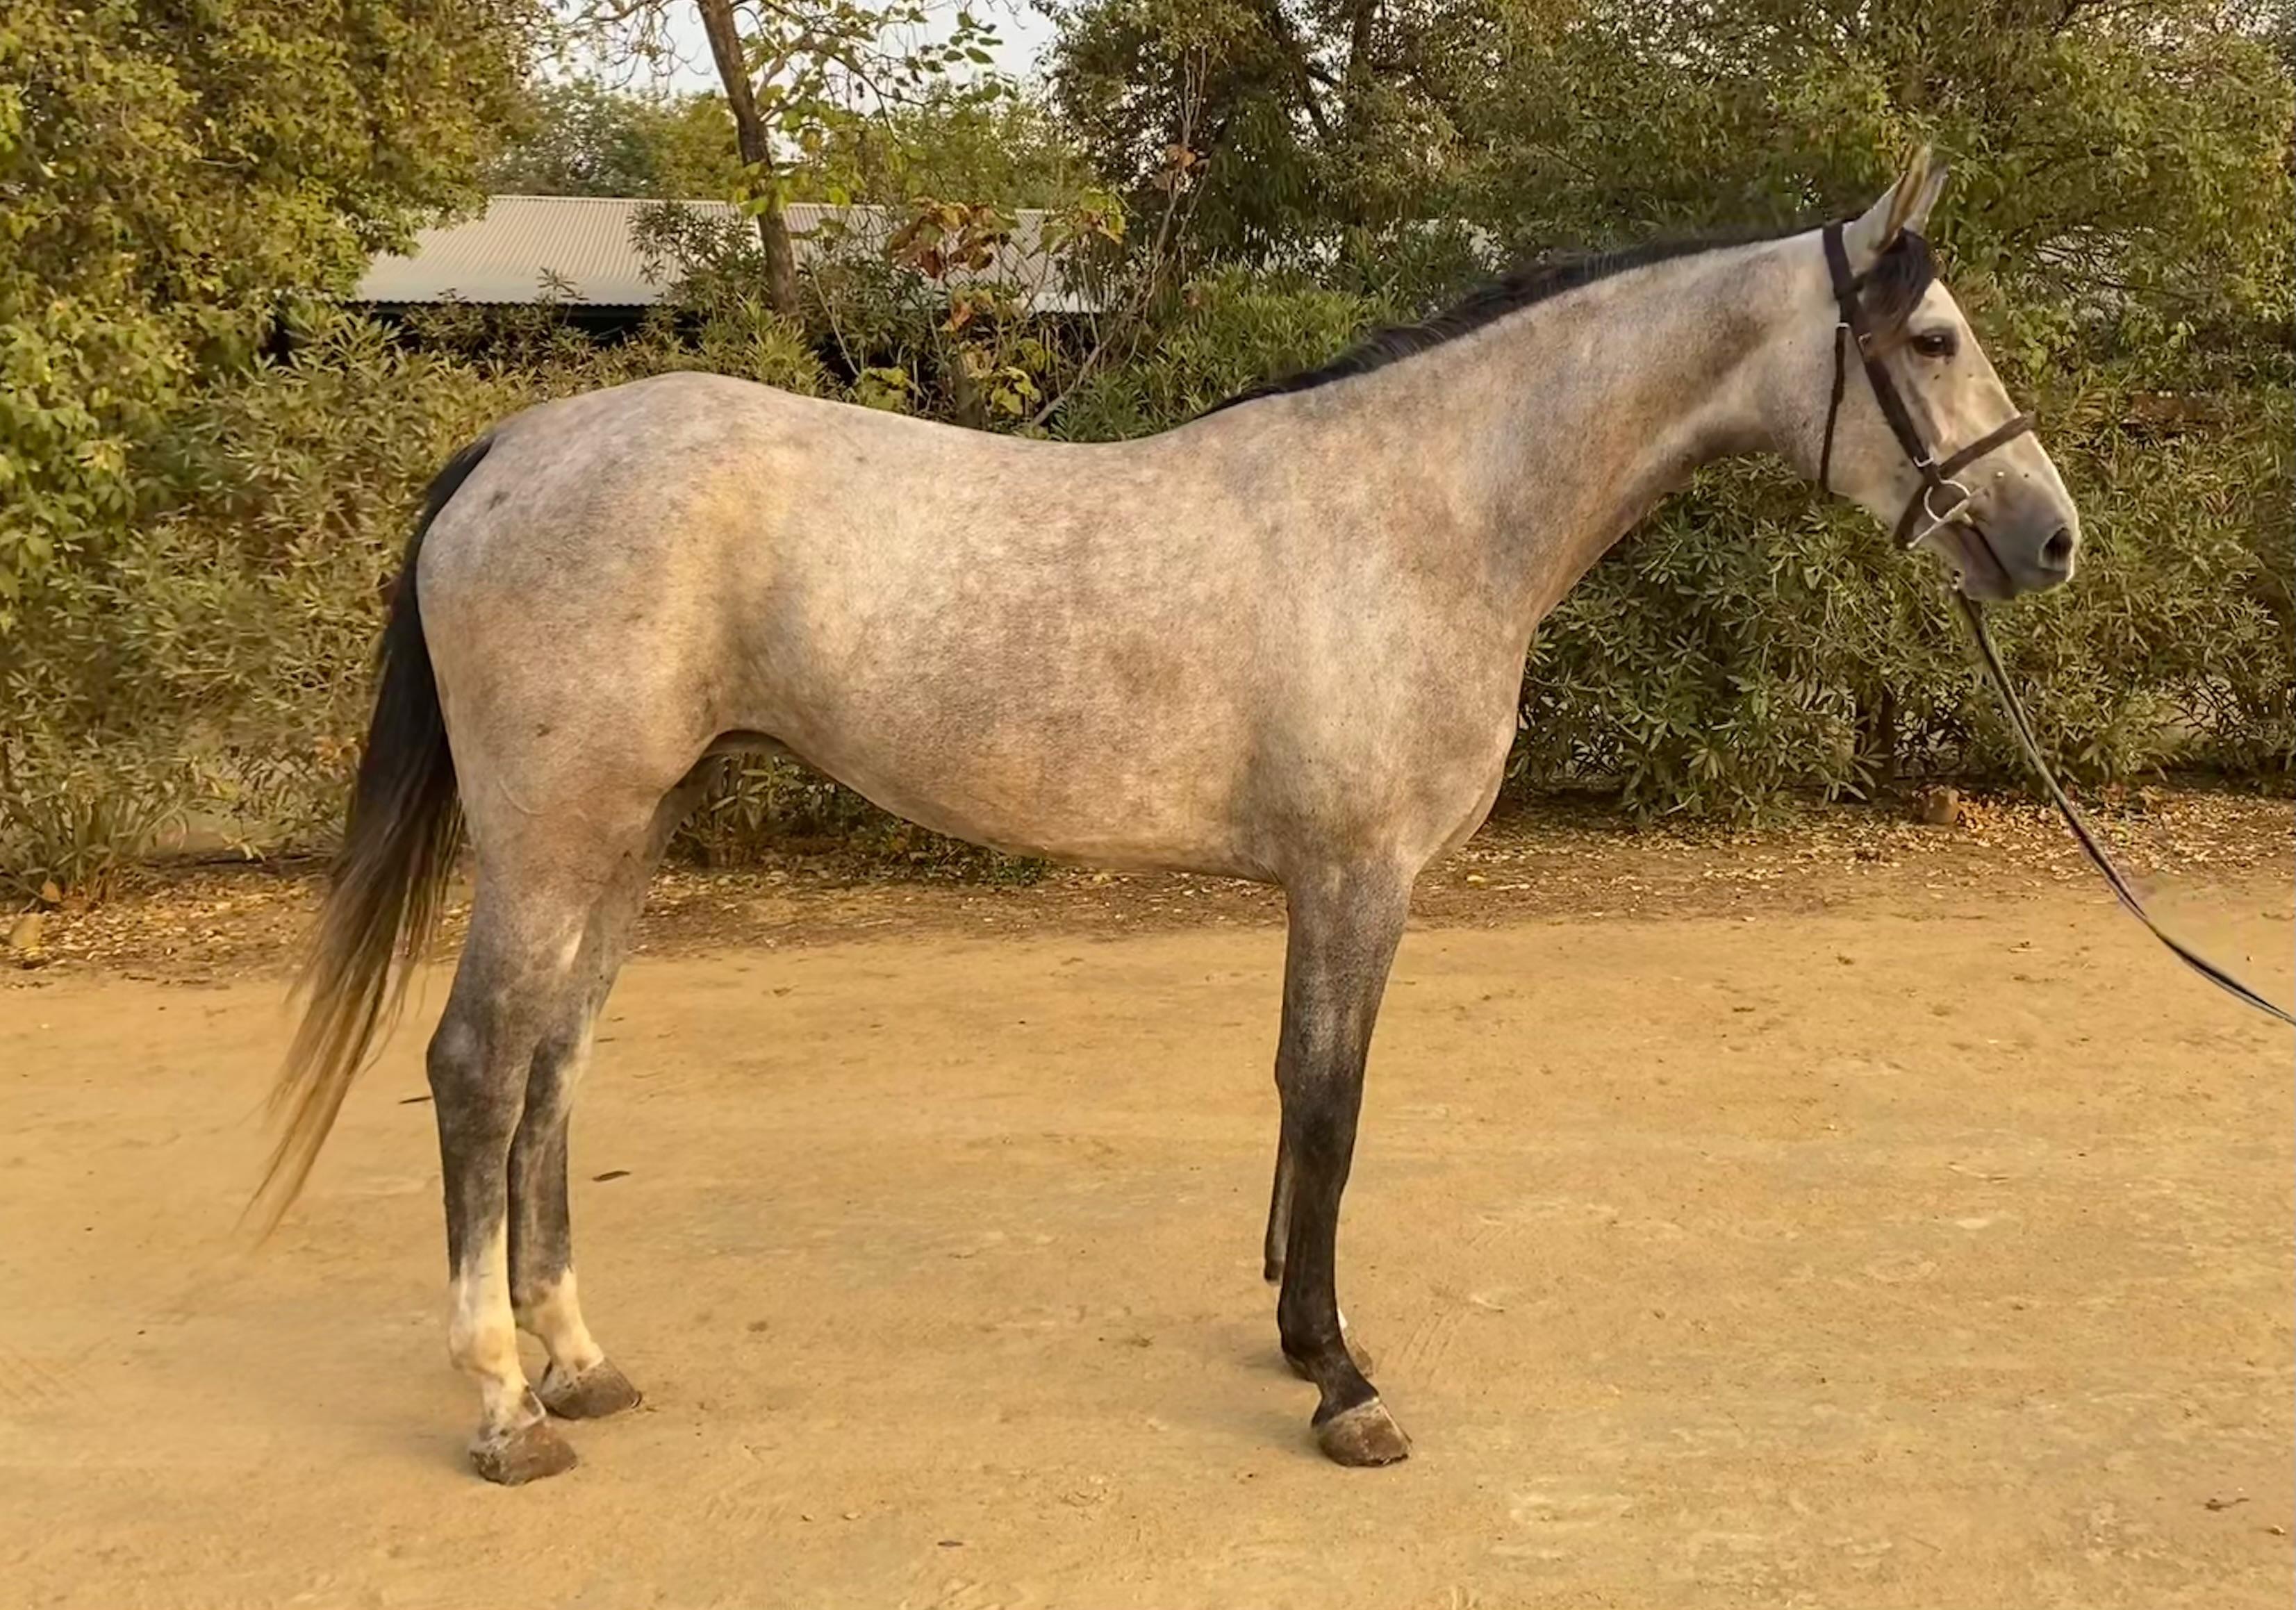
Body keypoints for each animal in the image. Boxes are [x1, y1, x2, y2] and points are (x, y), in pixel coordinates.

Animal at [256, 152, 2080, 1484]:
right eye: (1932, 340)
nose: (2048, 536)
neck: (1426, 512)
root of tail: (507, 445)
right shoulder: (1356, 878)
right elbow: (1332, 1109)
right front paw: (1341, 1382)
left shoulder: (1324, 887)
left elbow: (1292, 1099)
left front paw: (1294, 1332)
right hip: (554, 834)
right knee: (479, 1068)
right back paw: (503, 1407)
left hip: (626, 835)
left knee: (554, 1068)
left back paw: (579, 1363)